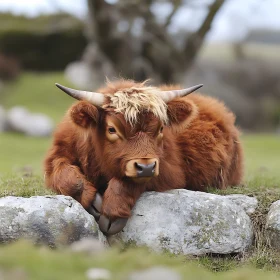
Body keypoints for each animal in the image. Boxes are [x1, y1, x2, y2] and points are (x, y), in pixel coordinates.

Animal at [43, 80, 243, 235]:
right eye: (112, 129)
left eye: (161, 128)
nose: (146, 167)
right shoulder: (58, 155)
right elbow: (68, 178)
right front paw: (91, 199)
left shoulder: (169, 172)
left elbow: (128, 182)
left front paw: (113, 211)